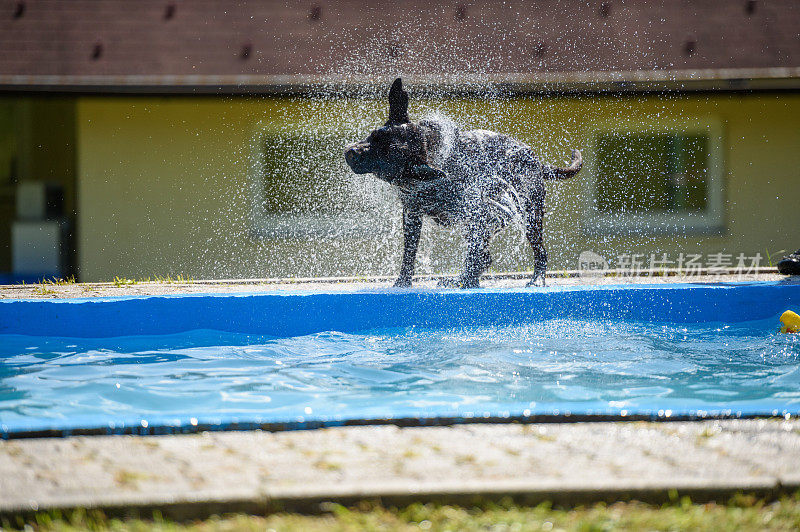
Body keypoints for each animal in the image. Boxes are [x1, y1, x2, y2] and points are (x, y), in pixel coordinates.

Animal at [344, 77, 580, 288]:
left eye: (386, 160)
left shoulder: (475, 212)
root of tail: (536, 161)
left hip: (525, 216)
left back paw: (532, 279)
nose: (352, 153)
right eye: (374, 135)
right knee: (484, 258)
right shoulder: (412, 214)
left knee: (535, 253)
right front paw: (403, 281)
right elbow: (409, 253)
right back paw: (465, 280)